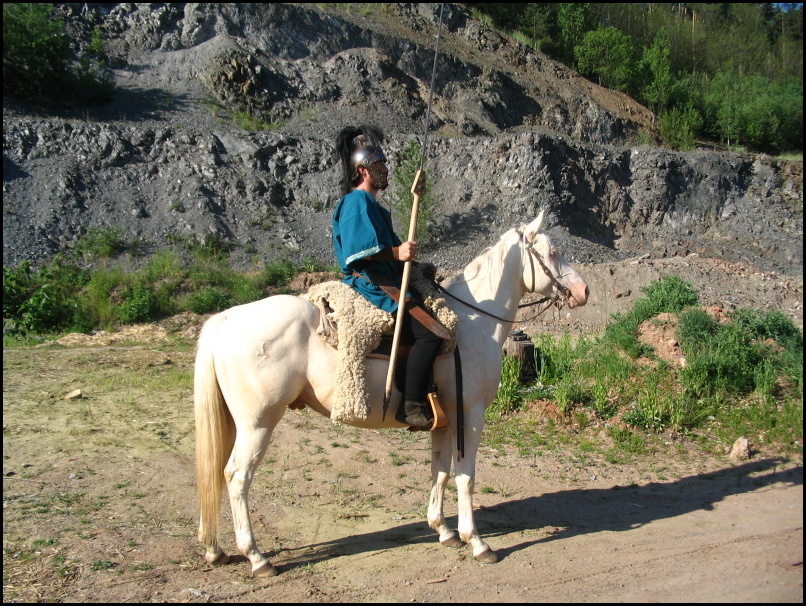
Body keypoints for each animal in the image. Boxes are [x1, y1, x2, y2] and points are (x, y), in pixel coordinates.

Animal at [193, 211, 592, 576]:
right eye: (552, 252)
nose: (583, 292)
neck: (472, 323)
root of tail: (226, 318)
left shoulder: (444, 420)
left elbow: (440, 471)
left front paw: (443, 531)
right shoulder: (470, 415)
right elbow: (465, 476)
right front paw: (477, 541)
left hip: (240, 423)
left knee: (217, 472)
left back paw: (215, 550)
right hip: (259, 422)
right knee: (237, 476)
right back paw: (257, 558)